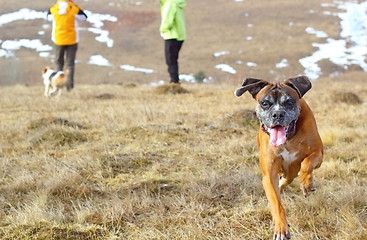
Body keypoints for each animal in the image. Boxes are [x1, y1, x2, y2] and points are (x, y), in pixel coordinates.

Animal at [237, 76, 324, 239]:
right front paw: (281, 229)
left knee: (291, 175)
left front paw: (307, 185)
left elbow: (307, 164)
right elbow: (277, 203)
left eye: (289, 102)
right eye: (265, 103)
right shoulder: (269, 176)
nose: (277, 114)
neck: (289, 138)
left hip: (294, 169)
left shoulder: (318, 152)